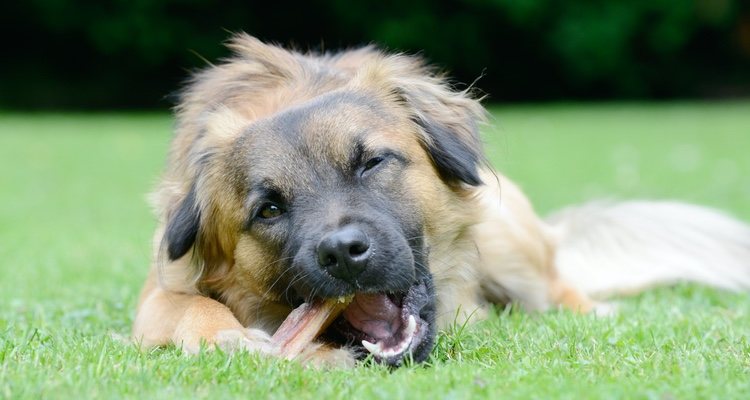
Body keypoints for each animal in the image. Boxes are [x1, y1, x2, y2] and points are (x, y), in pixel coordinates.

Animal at [132, 33, 750, 366]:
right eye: (269, 209)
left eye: (371, 162)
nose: (342, 252)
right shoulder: (160, 289)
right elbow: (190, 307)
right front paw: (227, 337)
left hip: (508, 238)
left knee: (557, 288)